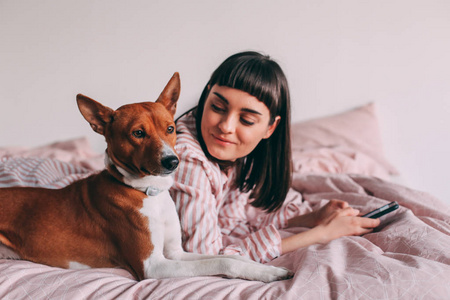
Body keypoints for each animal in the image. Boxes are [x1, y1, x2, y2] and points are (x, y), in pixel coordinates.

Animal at [0, 74, 292, 282]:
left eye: (170, 129)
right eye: (138, 133)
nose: (172, 162)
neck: (150, 193)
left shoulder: (175, 253)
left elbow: (232, 258)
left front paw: (265, 269)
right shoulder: (153, 265)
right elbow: (223, 261)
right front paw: (265, 272)